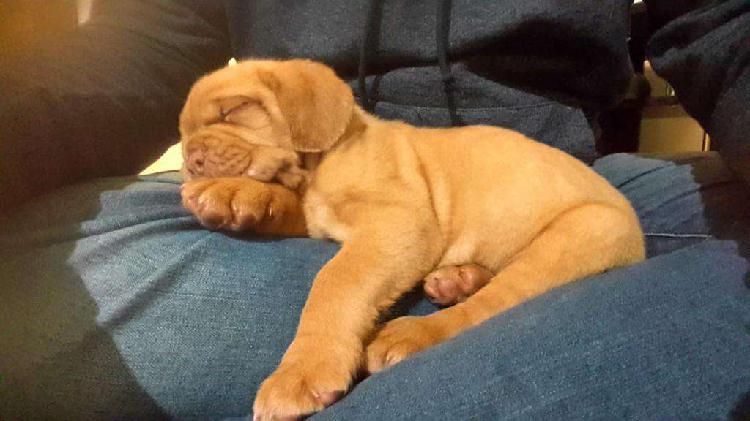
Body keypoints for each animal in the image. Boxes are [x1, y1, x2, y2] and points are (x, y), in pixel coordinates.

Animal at [178, 60, 648, 420]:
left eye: (233, 110)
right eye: (182, 137)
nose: (190, 160)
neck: (319, 170)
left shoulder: (399, 224)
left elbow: (335, 282)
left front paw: (301, 370)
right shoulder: (315, 215)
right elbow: (283, 203)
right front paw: (232, 194)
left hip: (575, 235)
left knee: (487, 308)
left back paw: (415, 331)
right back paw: (458, 279)